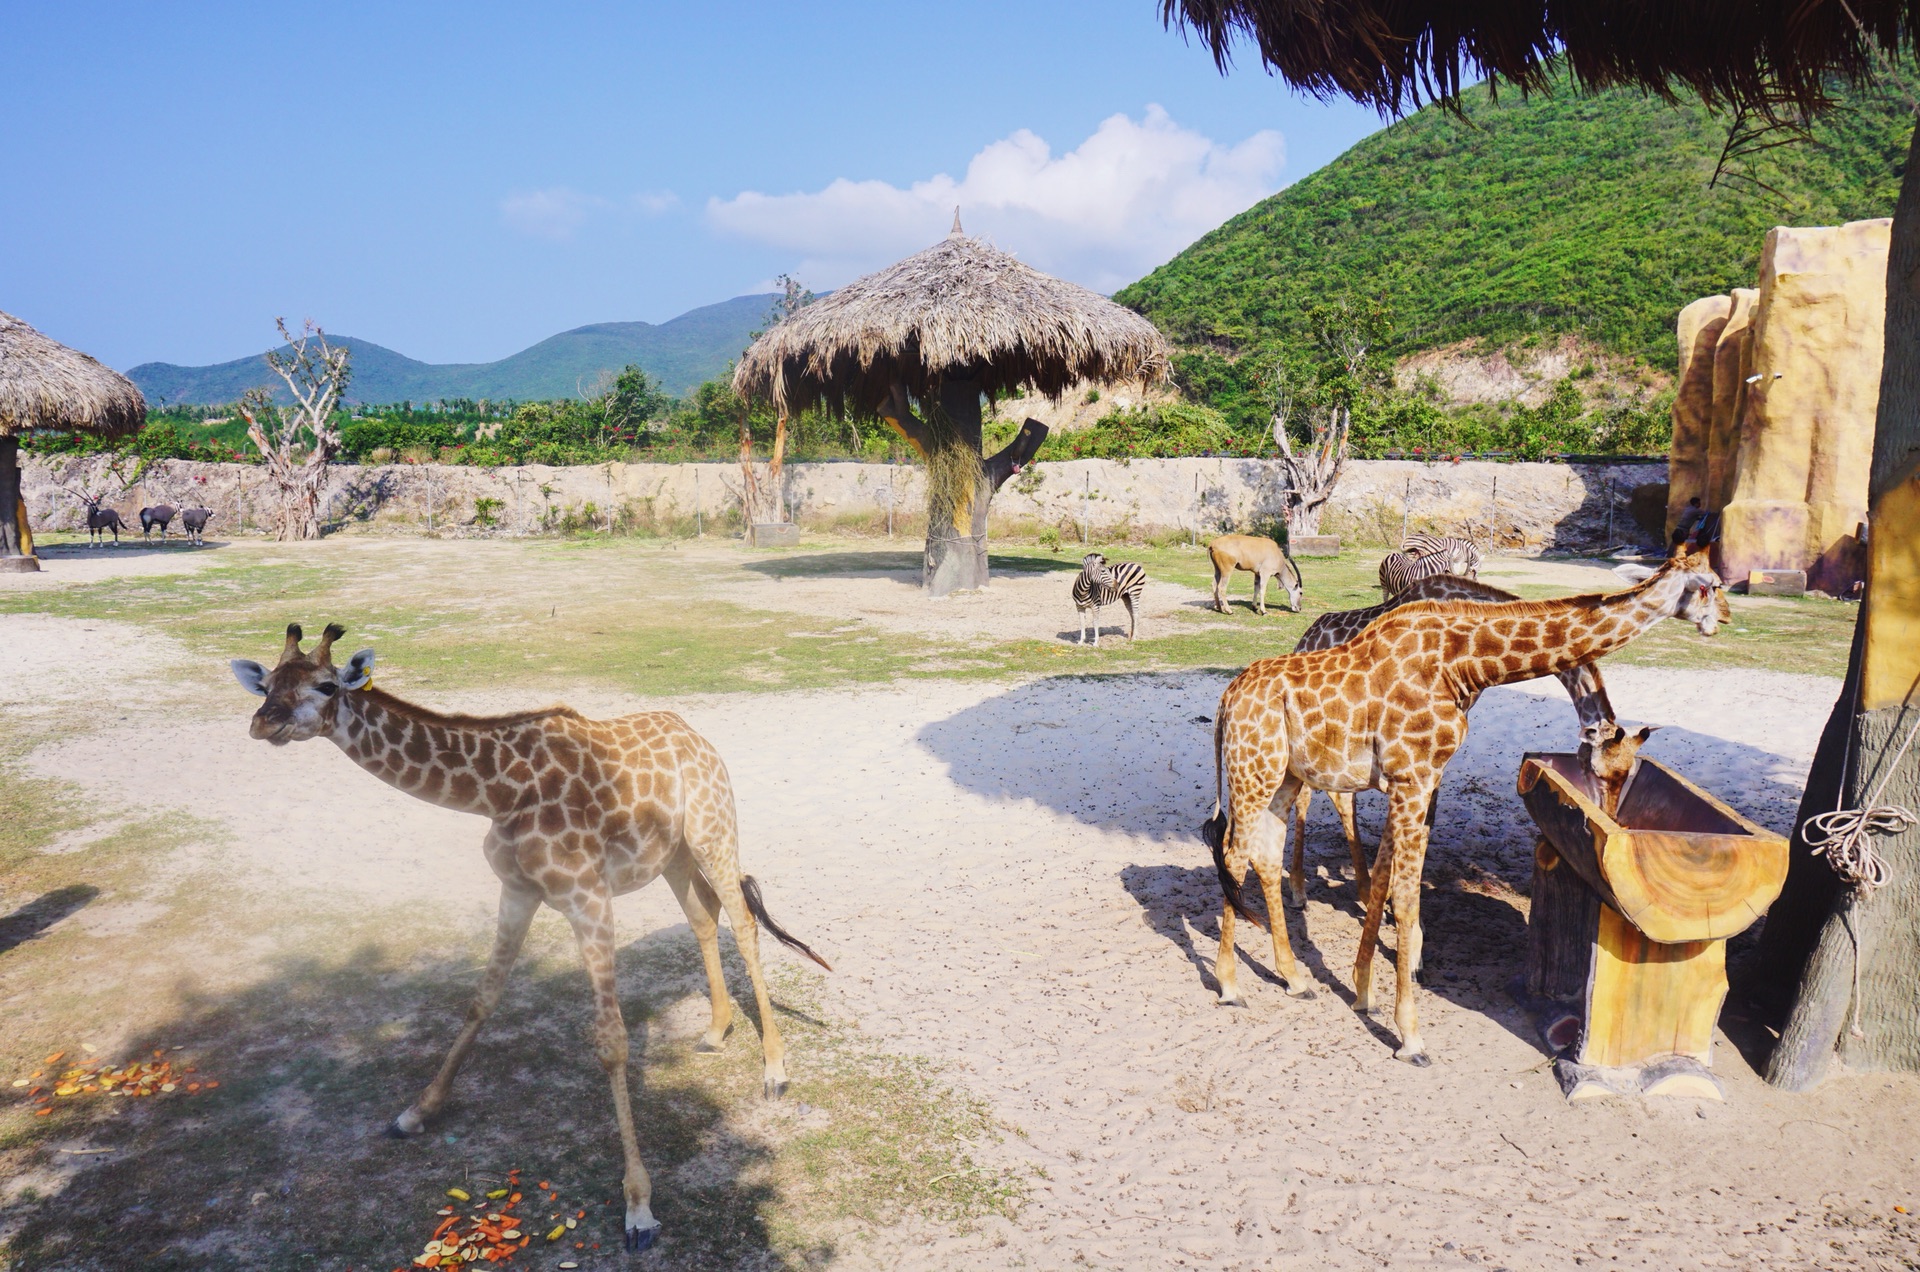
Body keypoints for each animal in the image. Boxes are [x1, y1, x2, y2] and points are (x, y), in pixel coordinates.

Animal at [228, 626, 829, 1252]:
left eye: (326, 686)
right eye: (267, 685)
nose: (264, 723)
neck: (497, 792)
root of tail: (698, 737)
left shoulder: (588, 897)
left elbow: (612, 1043)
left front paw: (639, 1207)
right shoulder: (516, 889)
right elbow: (481, 999)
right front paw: (417, 1112)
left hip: (715, 830)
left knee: (744, 923)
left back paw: (775, 1071)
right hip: (674, 855)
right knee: (704, 917)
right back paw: (714, 1031)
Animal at [1198, 557, 1728, 1068]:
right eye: (1710, 586)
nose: (1722, 619)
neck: (1464, 662)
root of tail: (1226, 698)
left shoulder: (1413, 779)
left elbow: (1388, 877)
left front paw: (1363, 989)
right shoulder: (1414, 777)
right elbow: (1406, 896)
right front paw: (1411, 1034)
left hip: (1282, 774)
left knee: (1263, 854)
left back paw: (1294, 978)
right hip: (1255, 771)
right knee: (1234, 854)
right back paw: (1230, 985)